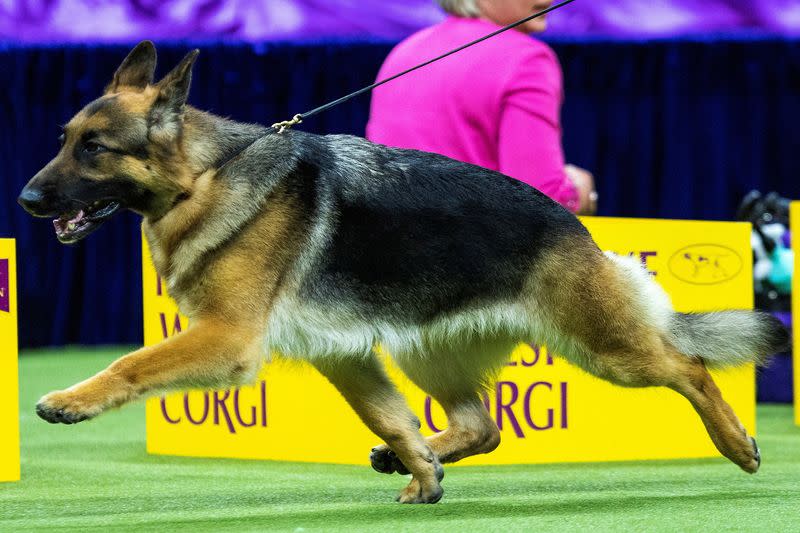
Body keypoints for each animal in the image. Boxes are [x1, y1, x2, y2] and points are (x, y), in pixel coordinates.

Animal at [17, 42, 788, 502]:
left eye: (94, 148)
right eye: (64, 140)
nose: (25, 199)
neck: (205, 175)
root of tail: (574, 225)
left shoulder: (226, 338)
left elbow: (132, 362)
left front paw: (71, 400)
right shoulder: (345, 357)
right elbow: (389, 419)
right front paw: (419, 467)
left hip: (608, 348)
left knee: (690, 365)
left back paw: (737, 443)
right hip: (426, 352)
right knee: (483, 425)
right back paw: (425, 460)